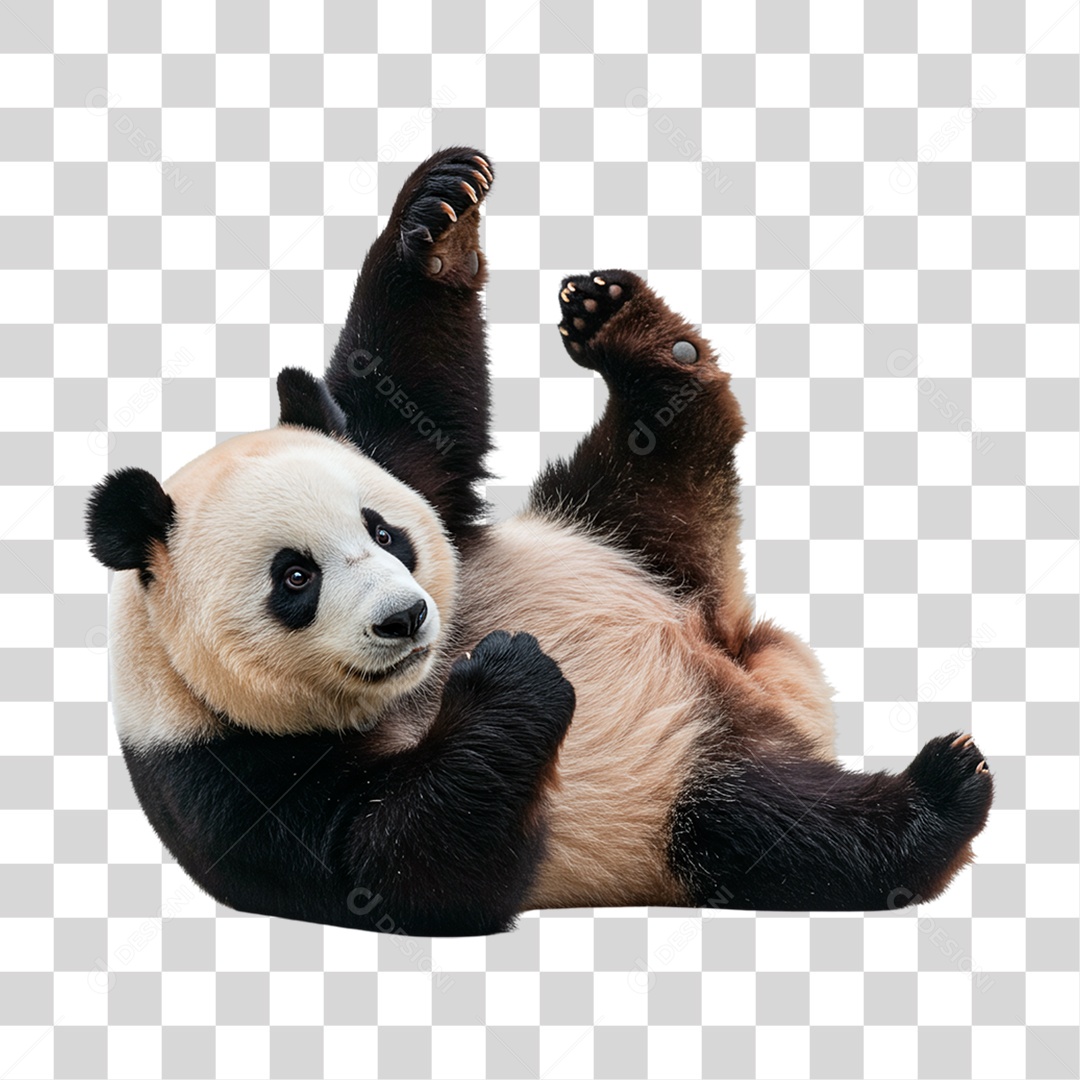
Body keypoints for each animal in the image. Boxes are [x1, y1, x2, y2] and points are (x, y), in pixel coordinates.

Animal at [86, 147, 994, 937]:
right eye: (295, 577)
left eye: (385, 532)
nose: (407, 620)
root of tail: (746, 656)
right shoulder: (226, 777)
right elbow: (407, 867)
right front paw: (514, 671)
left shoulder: (409, 468)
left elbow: (414, 404)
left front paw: (438, 215)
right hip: (669, 799)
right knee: (783, 833)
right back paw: (942, 792)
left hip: (607, 532)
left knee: (654, 461)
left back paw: (640, 342)